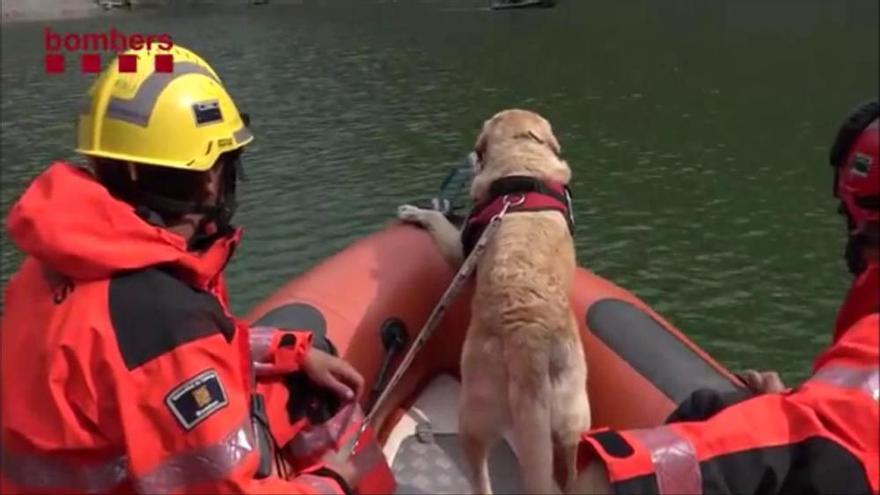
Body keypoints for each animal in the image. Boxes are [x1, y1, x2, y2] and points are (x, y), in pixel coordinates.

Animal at [398, 109, 592, 495]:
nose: (471, 157)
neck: (523, 160)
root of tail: (529, 342)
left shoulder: (460, 250)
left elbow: (438, 220)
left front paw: (415, 211)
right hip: (573, 414)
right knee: (569, 468)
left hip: (472, 416)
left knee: (480, 476)